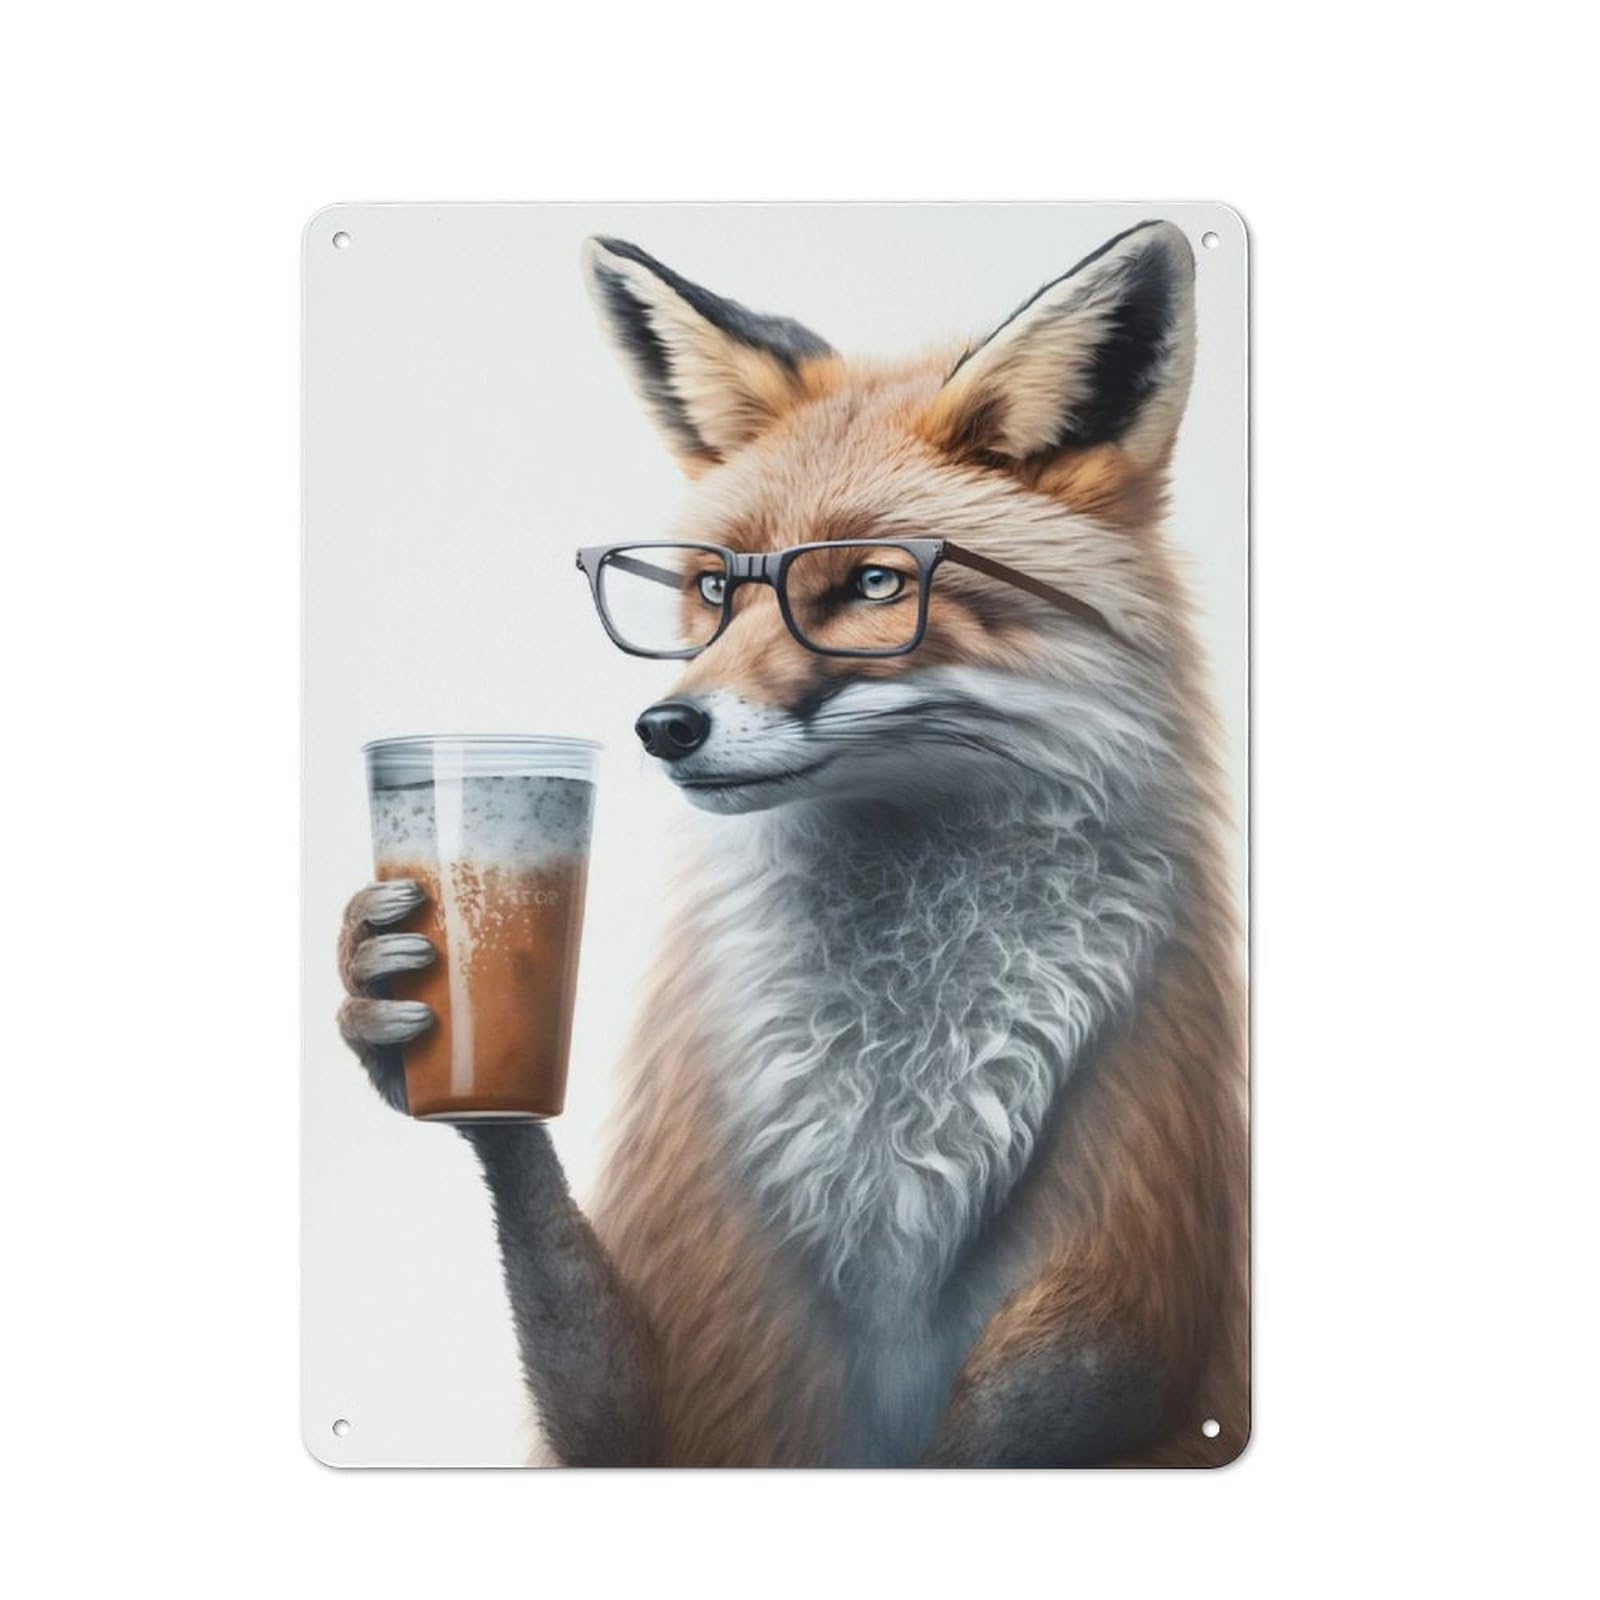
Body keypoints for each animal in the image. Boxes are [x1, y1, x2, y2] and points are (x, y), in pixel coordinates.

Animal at [337, 219, 1248, 1467]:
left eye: (872, 582)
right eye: (714, 587)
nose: (663, 727)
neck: (897, 1172)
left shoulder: (1125, 1261)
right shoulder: (700, 1339)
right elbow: (622, 1402)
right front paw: (385, 1001)